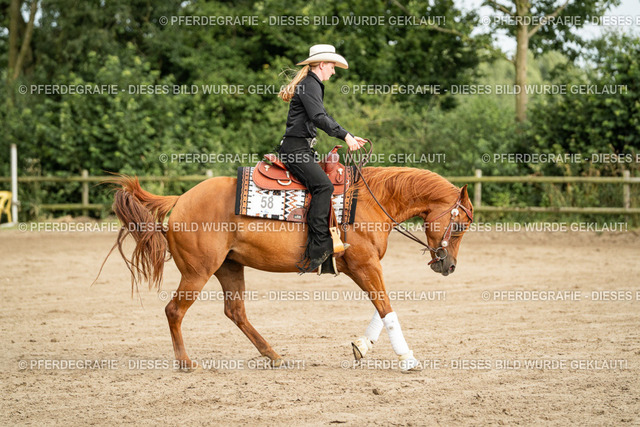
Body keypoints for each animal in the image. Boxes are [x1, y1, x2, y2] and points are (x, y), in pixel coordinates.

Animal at [102, 166, 474, 372]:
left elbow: (383, 308)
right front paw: (407, 359)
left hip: (229, 268)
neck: (369, 200)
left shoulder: (368, 267)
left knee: (235, 311)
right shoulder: (364, 265)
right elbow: (387, 308)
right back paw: (185, 362)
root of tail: (179, 199)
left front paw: (362, 346)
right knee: (174, 310)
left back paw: (273, 355)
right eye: (459, 226)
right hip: (198, 272)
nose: (450, 265)